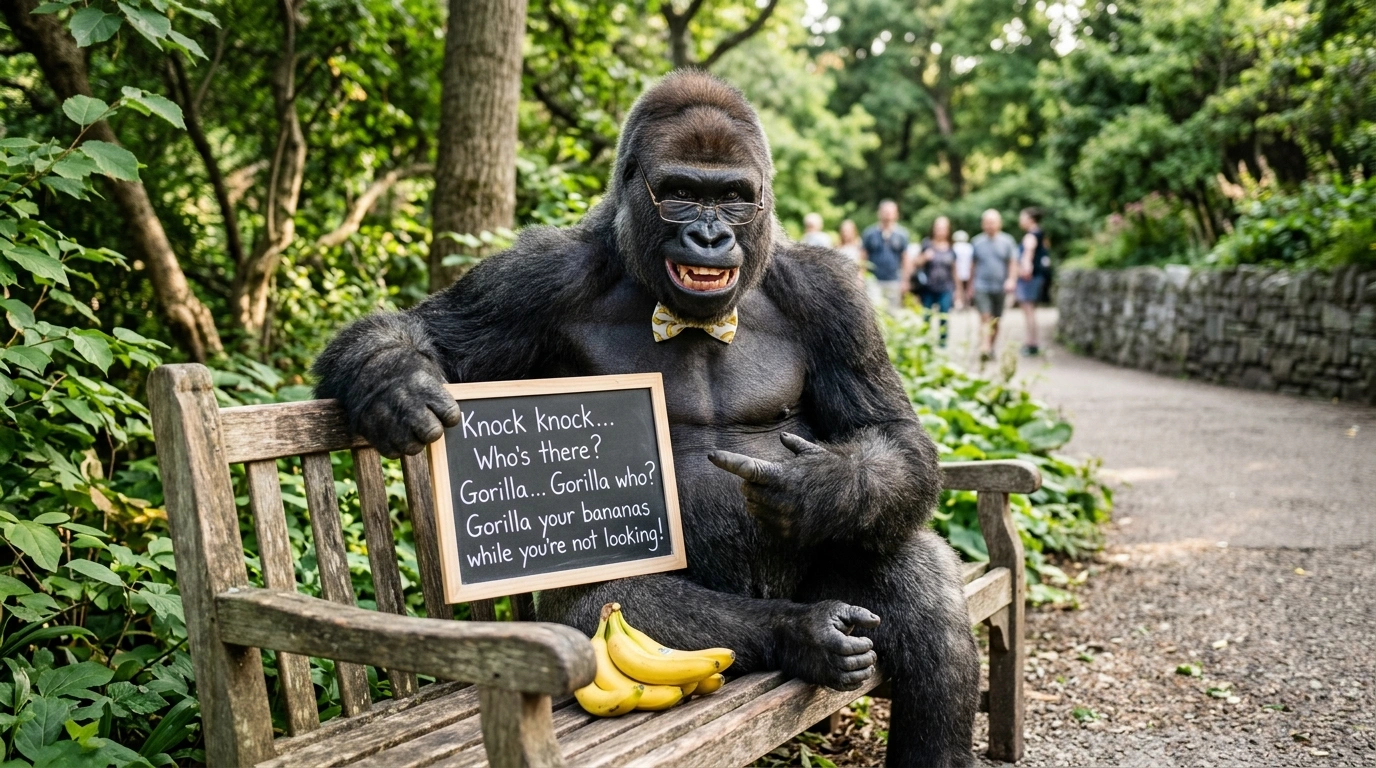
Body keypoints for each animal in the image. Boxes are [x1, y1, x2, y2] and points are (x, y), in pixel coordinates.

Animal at [314, 71, 980, 766]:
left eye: (733, 198)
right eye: (682, 194)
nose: (710, 237)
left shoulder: (833, 292)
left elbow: (892, 432)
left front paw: (820, 487)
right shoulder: (535, 274)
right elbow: (433, 334)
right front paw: (396, 382)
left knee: (918, 580)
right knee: (610, 602)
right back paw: (803, 633)